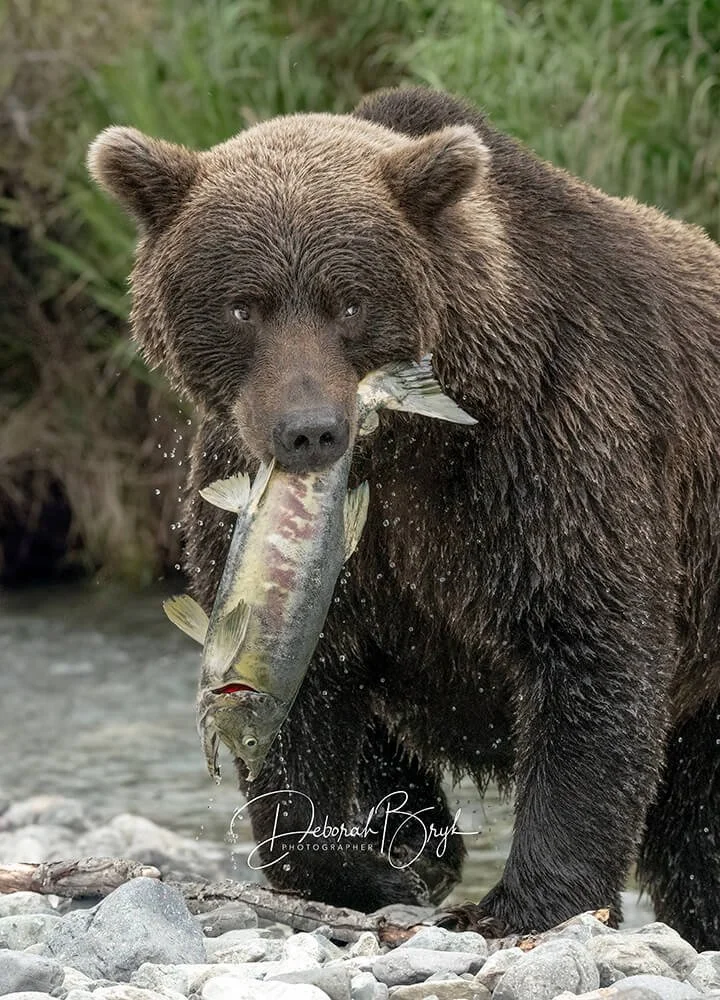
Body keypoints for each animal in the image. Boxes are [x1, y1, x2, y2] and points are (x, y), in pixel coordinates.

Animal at [88, 87, 720, 950]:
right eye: (244, 306)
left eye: (350, 301)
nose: (309, 431)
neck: (405, 453)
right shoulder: (266, 507)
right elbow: (312, 699)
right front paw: (378, 867)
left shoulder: (550, 450)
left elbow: (588, 650)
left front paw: (520, 905)